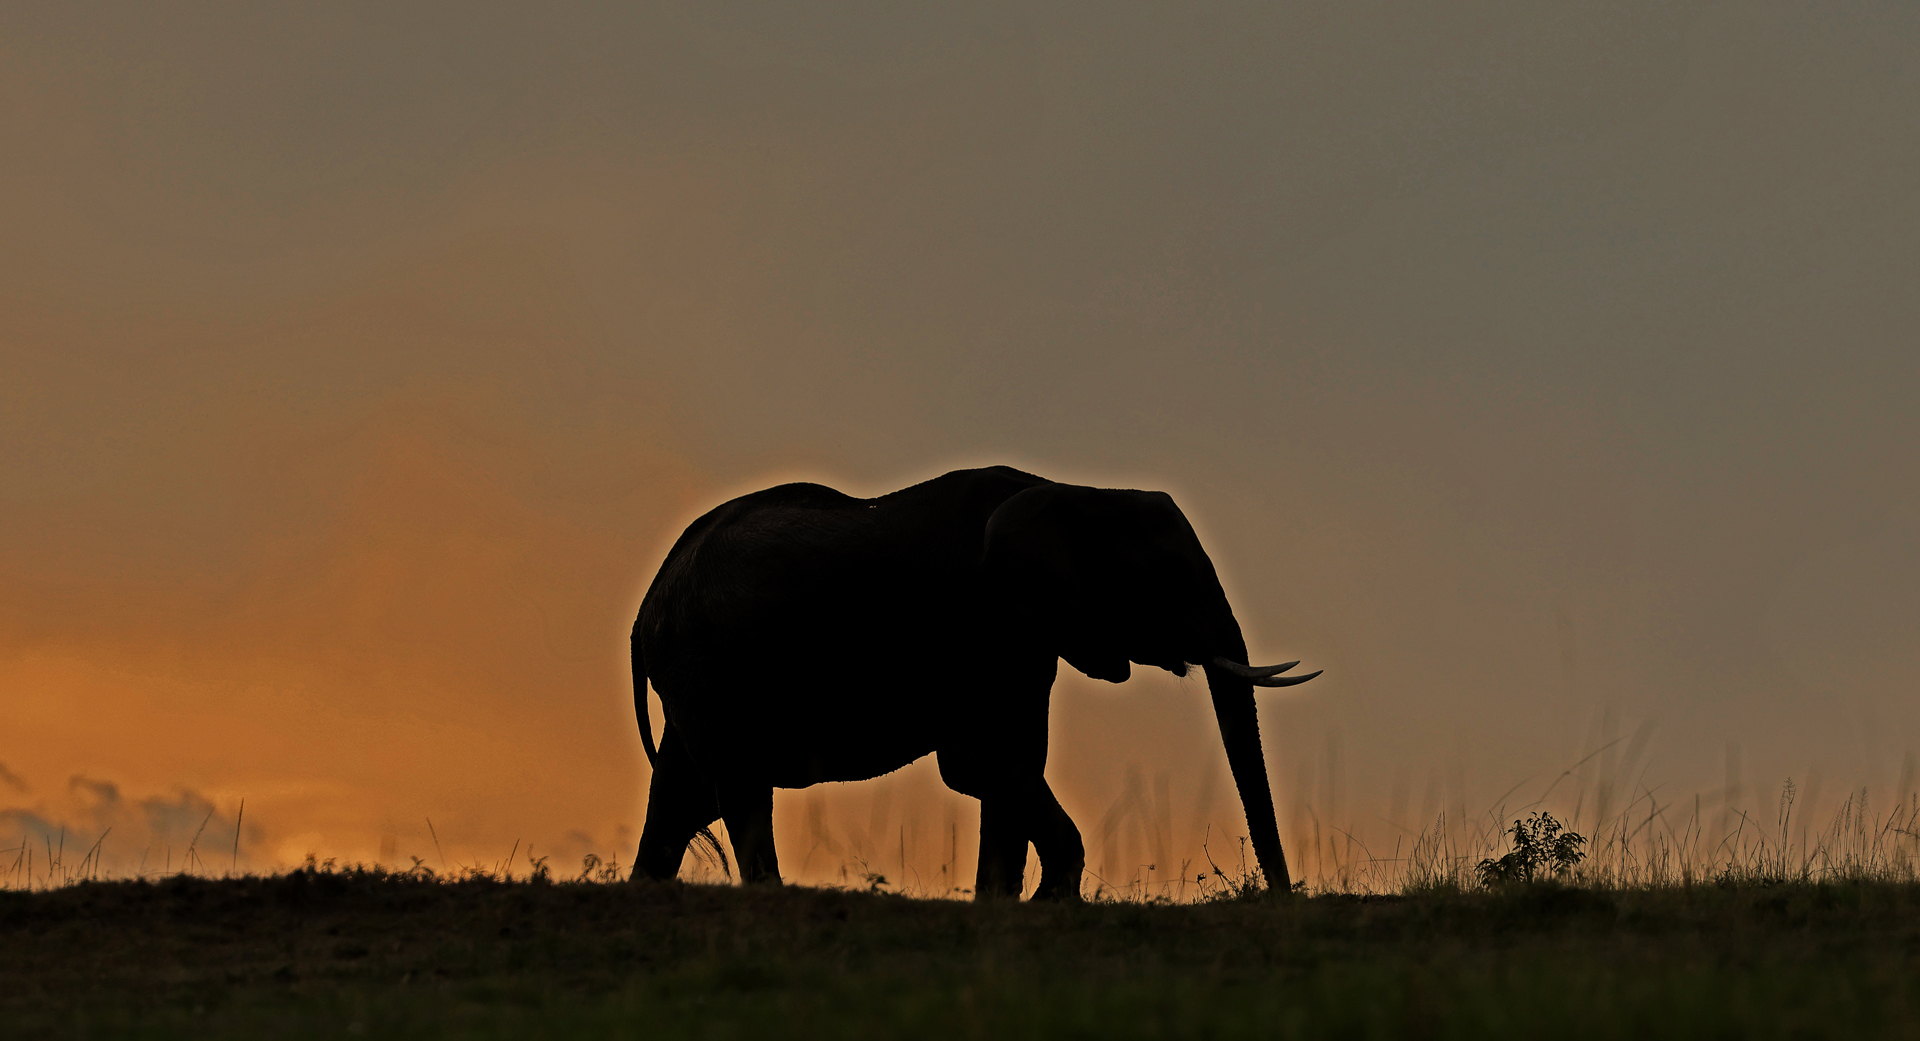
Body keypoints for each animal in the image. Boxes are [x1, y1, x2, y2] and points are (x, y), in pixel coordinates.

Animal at [629, 464, 1320, 898]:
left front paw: (1008, 903)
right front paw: (1034, 900)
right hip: (708, 669)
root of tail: (646, 605)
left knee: (682, 796)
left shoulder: (1031, 639)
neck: (1072, 491)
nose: (1281, 899)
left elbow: (1012, 763)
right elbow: (981, 762)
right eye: (1168, 576)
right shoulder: (981, 625)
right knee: (738, 790)